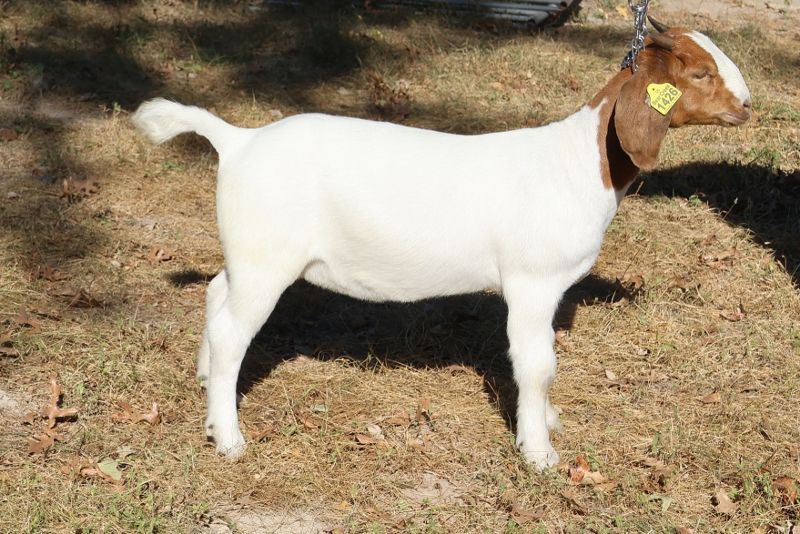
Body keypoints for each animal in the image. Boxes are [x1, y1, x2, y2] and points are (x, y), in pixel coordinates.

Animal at [132, 19, 751, 470]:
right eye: (700, 73)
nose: (748, 105)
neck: (579, 162)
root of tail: (238, 141)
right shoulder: (532, 284)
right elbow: (537, 364)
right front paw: (539, 453)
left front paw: (548, 424)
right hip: (266, 259)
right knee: (232, 332)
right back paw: (229, 438)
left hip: (249, 253)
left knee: (216, 296)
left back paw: (206, 384)